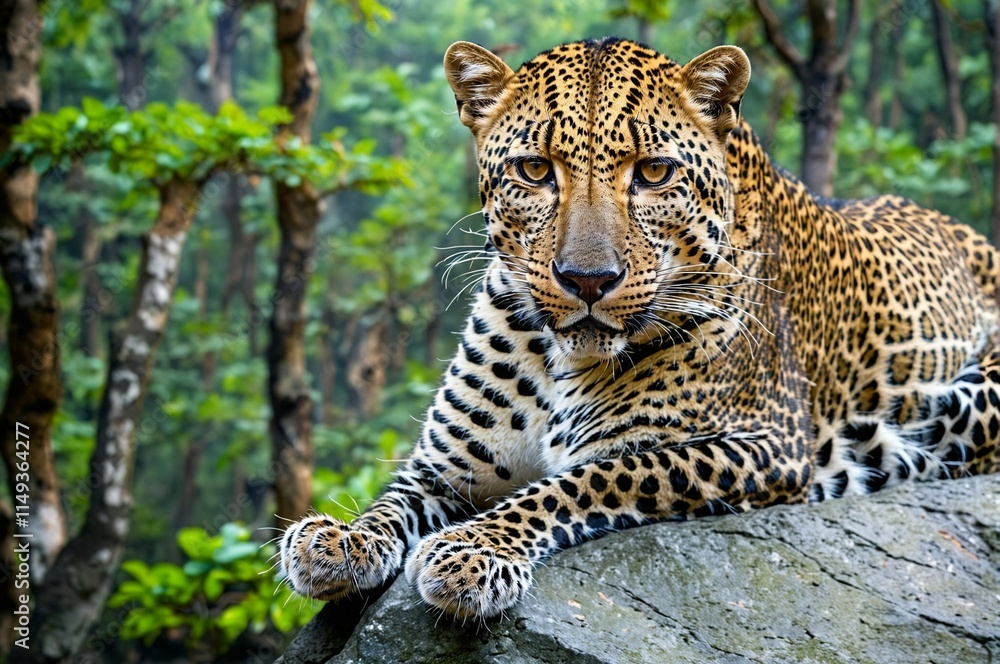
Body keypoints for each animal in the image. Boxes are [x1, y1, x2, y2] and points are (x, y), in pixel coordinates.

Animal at [279, 38, 1000, 622]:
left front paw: (472, 548)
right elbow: (393, 498)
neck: (557, 359)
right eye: (535, 170)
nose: (587, 279)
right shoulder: (447, 465)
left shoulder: (763, 443)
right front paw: (335, 539)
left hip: (965, 406)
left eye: (653, 172)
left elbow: (590, 477)